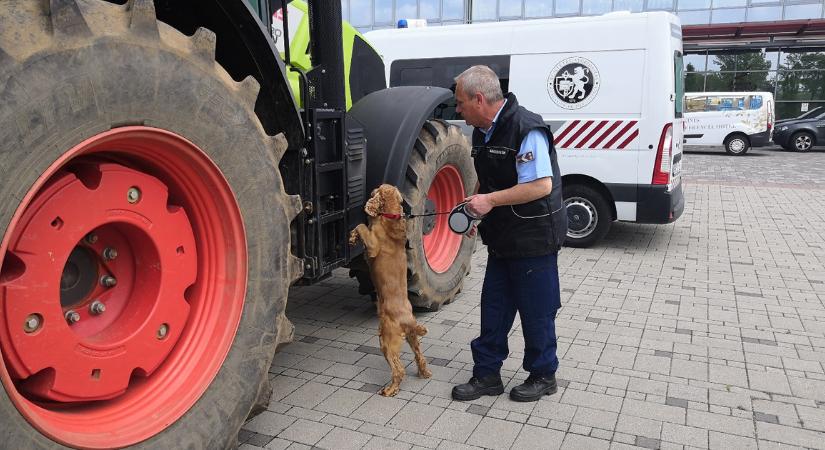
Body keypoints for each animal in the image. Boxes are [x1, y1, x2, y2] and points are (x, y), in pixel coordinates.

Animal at [348, 185, 432, 396]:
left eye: (376, 189)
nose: (371, 192)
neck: (391, 216)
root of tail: (409, 320)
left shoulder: (372, 246)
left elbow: (361, 226)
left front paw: (352, 237)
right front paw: (352, 238)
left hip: (386, 340)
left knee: (398, 368)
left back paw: (389, 390)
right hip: (412, 337)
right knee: (420, 356)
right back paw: (424, 373)